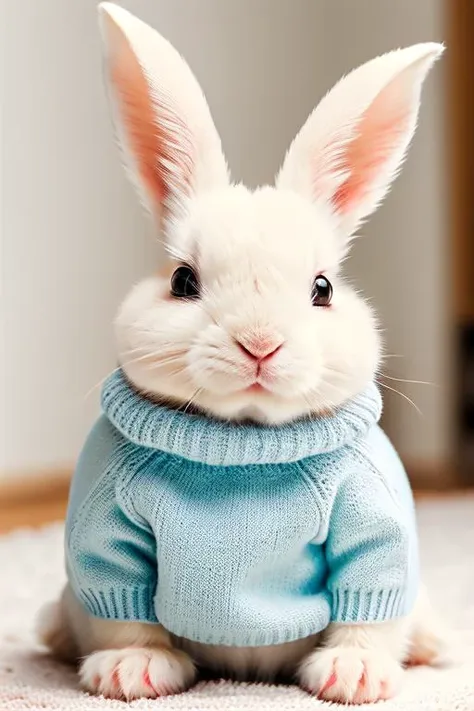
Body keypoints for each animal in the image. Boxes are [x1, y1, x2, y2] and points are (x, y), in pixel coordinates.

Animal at [38, 2, 448, 704]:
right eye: (183, 281)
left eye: (322, 289)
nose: (259, 343)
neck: (244, 444)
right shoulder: (106, 535)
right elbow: (124, 609)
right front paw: (131, 673)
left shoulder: (374, 525)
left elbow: (371, 600)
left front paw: (354, 677)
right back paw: (53, 636)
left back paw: (433, 646)